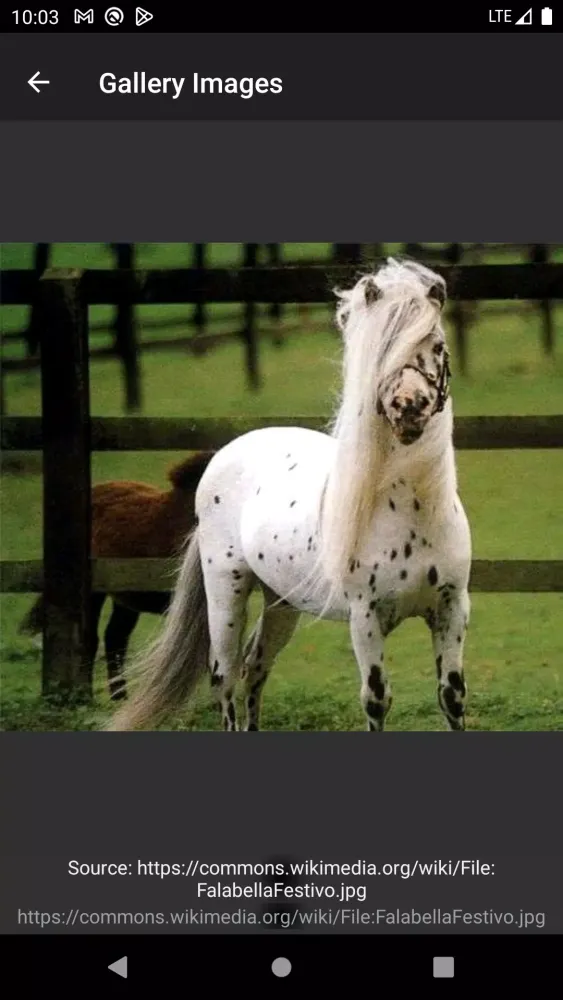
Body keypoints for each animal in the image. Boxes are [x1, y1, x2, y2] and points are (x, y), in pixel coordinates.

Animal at [19, 451, 215, 701]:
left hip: (126, 597)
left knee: (115, 637)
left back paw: (119, 694)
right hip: (95, 595)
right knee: (93, 639)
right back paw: (90, 694)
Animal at [105, 257, 472, 732]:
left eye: (438, 345)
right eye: (381, 351)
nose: (408, 407)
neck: (412, 513)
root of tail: (226, 454)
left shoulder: (451, 609)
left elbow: (452, 697)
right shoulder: (366, 618)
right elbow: (376, 700)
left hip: (281, 602)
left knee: (254, 668)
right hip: (226, 593)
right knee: (224, 676)